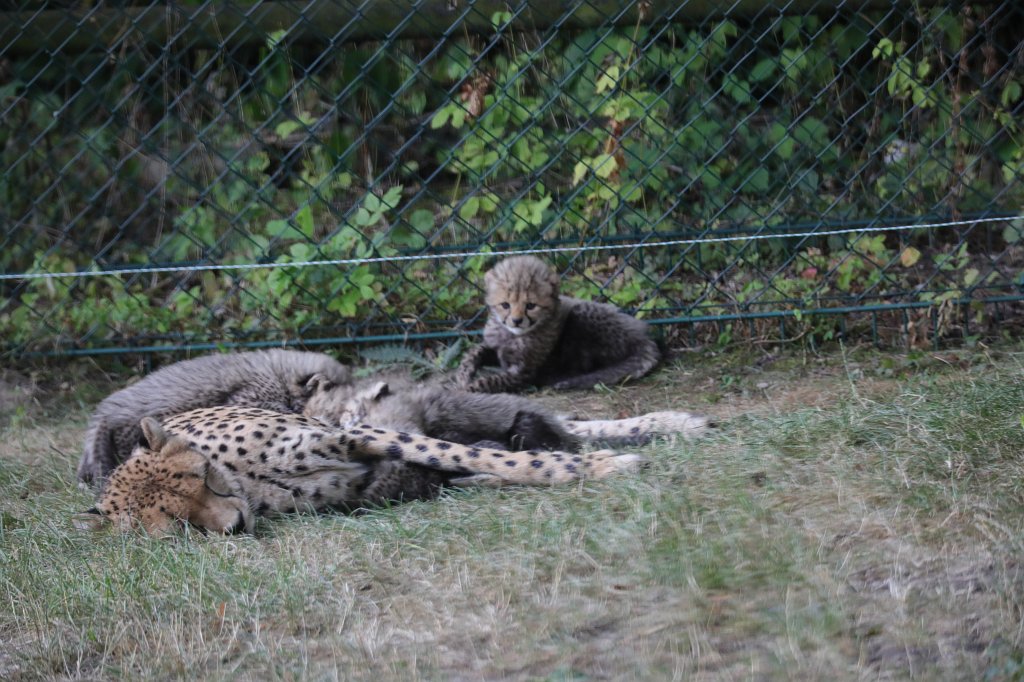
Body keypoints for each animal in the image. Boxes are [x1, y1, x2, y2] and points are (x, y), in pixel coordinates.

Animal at [456, 255, 661, 393]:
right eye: (505, 305)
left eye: (530, 306)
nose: (516, 320)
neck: (513, 335)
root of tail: (643, 336)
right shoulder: (496, 348)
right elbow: (476, 351)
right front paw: (464, 372)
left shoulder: (523, 372)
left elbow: (491, 382)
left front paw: (466, 388)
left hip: (582, 315)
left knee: (582, 367)